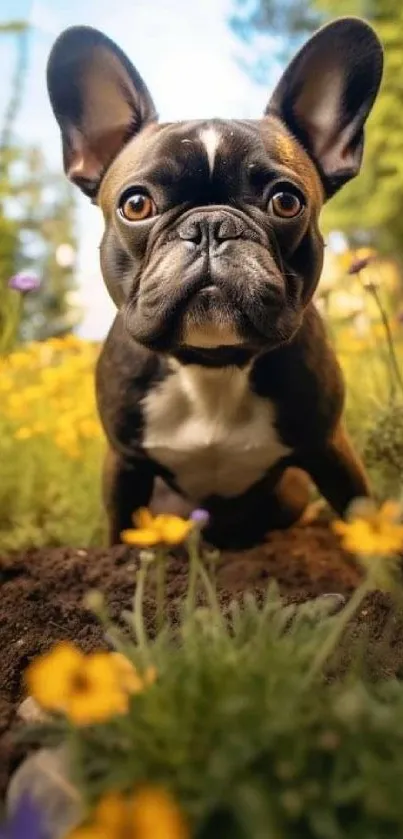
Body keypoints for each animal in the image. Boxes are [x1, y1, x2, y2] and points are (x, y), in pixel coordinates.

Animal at [45, 18, 384, 552]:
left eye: (286, 201)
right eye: (136, 204)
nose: (209, 225)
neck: (212, 364)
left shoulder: (329, 447)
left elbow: (363, 515)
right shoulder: (125, 465)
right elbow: (121, 534)